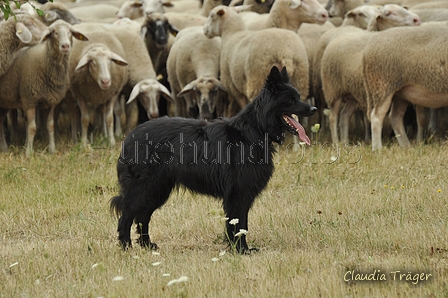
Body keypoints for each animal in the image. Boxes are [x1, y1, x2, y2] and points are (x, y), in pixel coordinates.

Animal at [0, 20, 88, 156]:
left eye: (70, 32)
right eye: (54, 32)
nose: (65, 46)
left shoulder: (51, 101)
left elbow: (50, 125)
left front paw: (52, 149)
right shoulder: (29, 100)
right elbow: (32, 127)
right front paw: (29, 153)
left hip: (7, 102)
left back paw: (4, 148)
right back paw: (4, 147)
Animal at [110, 67, 316, 254]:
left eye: (298, 96)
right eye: (291, 100)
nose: (314, 109)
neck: (254, 130)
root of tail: (130, 136)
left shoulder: (242, 194)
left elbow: (242, 225)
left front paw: (241, 249)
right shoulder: (238, 194)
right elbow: (238, 225)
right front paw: (241, 250)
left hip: (157, 190)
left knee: (143, 216)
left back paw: (147, 245)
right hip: (145, 188)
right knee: (127, 214)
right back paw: (126, 246)